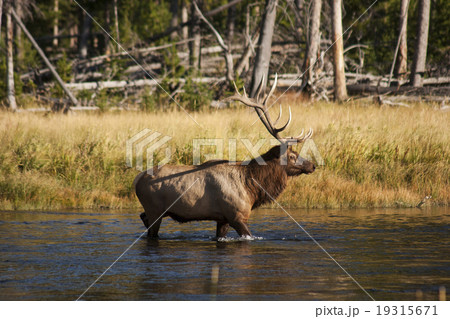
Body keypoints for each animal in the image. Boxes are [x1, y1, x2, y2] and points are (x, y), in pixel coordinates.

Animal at [135, 75, 314, 240]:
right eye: (292, 155)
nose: (312, 165)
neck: (251, 187)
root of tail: (137, 180)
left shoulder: (223, 219)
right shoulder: (236, 215)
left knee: (142, 217)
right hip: (154, 210)